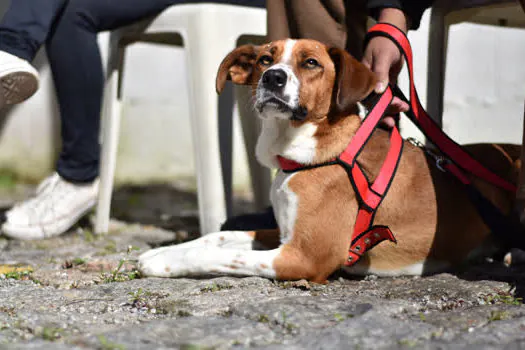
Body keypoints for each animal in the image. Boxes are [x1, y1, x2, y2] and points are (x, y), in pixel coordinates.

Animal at [137, 39, 516, 284]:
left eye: (310, 63)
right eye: (264, 59)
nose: (273, 77)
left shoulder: (304, 256)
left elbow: (218, 255)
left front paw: (166, 263)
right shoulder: (284, 233)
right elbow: (217, 237)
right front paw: (161, 251)